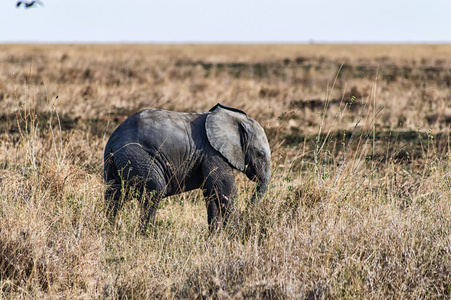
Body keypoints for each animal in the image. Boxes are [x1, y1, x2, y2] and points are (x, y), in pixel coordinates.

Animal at [104, 102, 270, 231]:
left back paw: (110, 231)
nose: (247, 212)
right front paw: (233, 236)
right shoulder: (212, 153)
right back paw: (150, 236)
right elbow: (224, 189)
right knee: (154, 191)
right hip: (137, 156)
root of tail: (113, 141)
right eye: (260, 154)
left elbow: (211, 194)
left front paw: (215, 239)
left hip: (117, 162)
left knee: (114, 195)